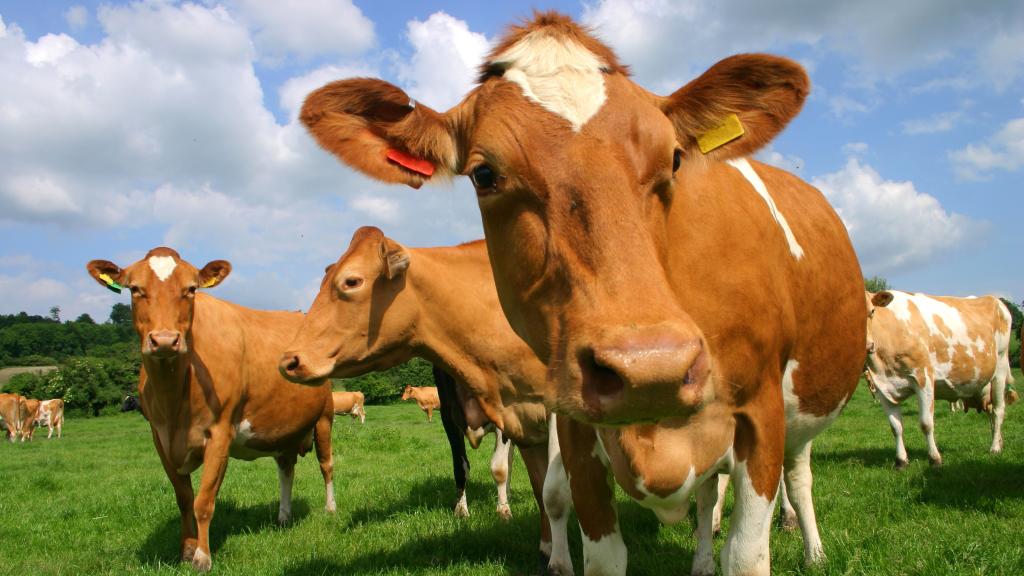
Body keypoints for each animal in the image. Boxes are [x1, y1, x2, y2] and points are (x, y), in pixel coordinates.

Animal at [86, 247, 335, 572]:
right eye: (134, 289)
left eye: (191, 289)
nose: (164, 340)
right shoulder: (160, 438)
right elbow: (184, 499)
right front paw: (186, 550)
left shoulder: (220, 434)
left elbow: (203, 501)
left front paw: (203, 557)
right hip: (284, 428)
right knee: (286, 469)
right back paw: (283, 516)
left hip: (325, 417)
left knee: (326, 464)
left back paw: (330, 508)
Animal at [279, 228, 558, 567]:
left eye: (351, 281)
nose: (291, 360)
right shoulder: (449, 416)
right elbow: (461, 466)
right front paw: (461, 509)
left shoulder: (508, 414)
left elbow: (500, 468)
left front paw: (504, 510)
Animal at [865, 290, 1015, 467]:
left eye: (872, 311)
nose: (867, 345)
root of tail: (994, 299)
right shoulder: (883, 387)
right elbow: (895, 427)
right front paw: (901, 461)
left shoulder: (923, 378)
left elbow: (926, 423)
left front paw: (934, 458)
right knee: (991, 410)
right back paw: (999, 441)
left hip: (1000, 367)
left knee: (998, 410)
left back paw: (995, 448)